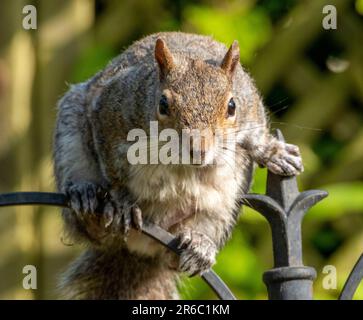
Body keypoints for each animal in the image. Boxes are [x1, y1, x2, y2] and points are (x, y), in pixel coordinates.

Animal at [53, 31, 304, 298]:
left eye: (232, 106)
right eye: (163, 104)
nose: (199, 150)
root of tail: (139, 248)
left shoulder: (250, 105)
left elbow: (256, 133)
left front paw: (274, 152)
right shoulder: (109, 112)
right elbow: (113, 167)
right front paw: (123, 203)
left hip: (223, 207)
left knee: (186, 243)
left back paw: (199, 245)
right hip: (70, 136)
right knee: (92, 229)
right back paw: (86, 196)